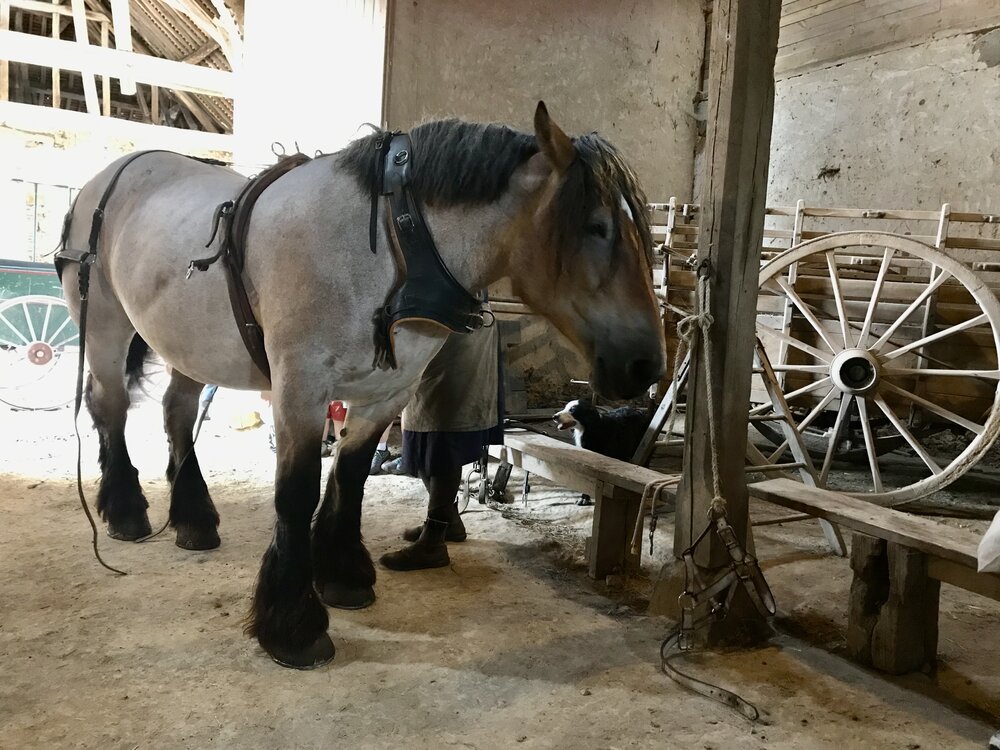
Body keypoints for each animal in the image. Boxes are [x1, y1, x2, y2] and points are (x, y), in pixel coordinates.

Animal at [62, 101, 668, 668]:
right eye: (596, 227)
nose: (647, 367)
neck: (391, 248)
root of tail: (112, 173)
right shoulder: (300, 389)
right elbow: (296, 493)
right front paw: (293, 625)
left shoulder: (386, 394)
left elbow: (350, 477)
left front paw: (343, 574)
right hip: (105, 325)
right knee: (110, 407)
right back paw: (126, 512)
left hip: (188, 345)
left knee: (177, 413)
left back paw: (193, 519)